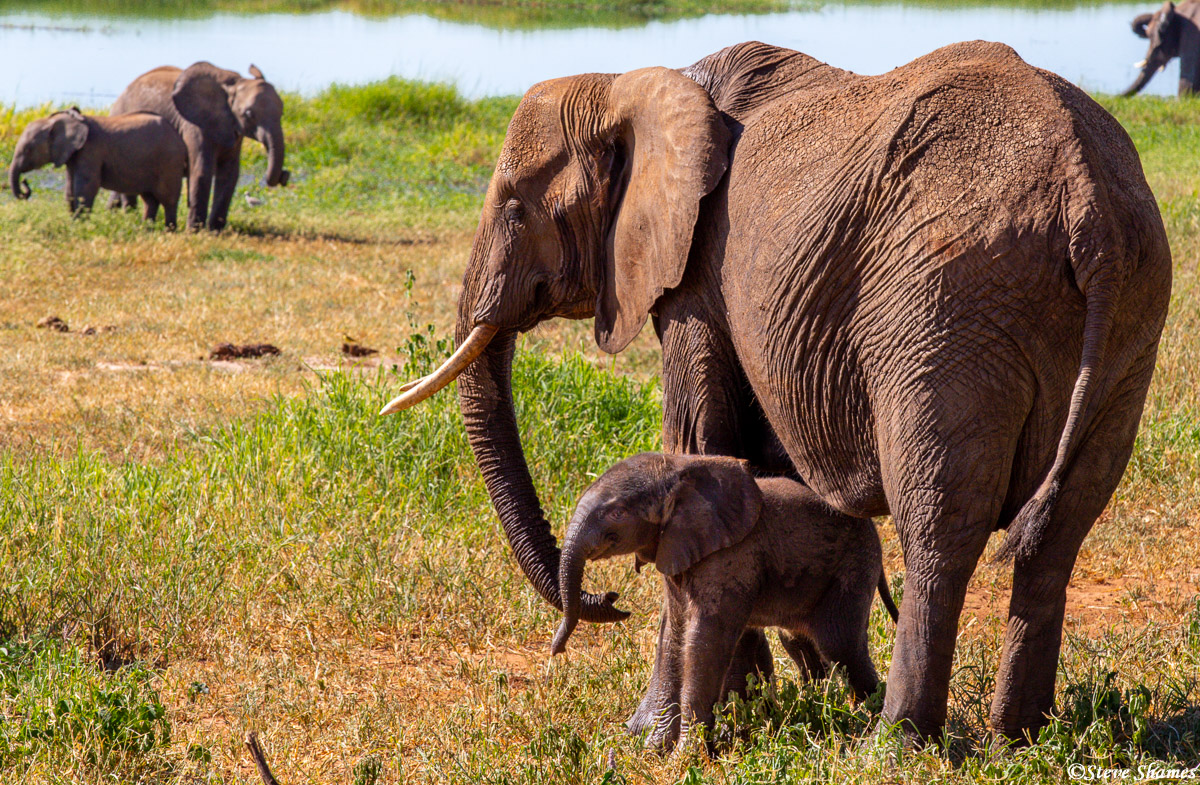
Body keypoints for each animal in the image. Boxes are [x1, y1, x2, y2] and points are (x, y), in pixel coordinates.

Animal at [8, 106, 187, 228]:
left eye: (28, 150)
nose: (25, 183)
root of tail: (178, 137)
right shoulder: (73, 155)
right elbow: (70, 188)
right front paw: (73, 223)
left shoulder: (91, 151)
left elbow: (86, 186)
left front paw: (80, 225)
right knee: (150, 200)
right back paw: (146, 230)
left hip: (170, 162)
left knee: (168, 200)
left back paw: (169, 231)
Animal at [111, 62, 288, 229]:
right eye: (248, 114)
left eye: (282, 111)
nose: (284, 175)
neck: (232, 85)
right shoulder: (194, 125)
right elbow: (202, 171)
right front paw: (194, 231)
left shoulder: (234, 130)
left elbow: (229, 173)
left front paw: (215, 231)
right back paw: (128, 214)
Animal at [549, 451, 897, 753]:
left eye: (617, 513)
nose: (557, 651)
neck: (677, 468)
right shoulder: (676, 550)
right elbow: (676, 634)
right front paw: (653, 751)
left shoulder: (732, 555)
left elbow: (705, 639)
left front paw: (685, 757)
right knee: (798, 641)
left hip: (854, 565)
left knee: (840, 645)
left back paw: (866, 723)